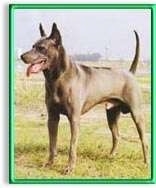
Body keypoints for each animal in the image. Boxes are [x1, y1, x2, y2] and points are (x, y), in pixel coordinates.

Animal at [20, 22, 147, 174]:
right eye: (33, 46)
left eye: (41, 48)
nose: (22, 56)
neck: (58, 77)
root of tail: (130, 73)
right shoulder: (52, 117)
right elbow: (52, 144)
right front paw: (50, 163)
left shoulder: (74, 119)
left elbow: (72, 146)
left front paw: (69, 168)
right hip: (111, 114)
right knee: (116, 136)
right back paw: (111, 156)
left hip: (137, 113)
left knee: (143, 139)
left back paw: (146, 162)